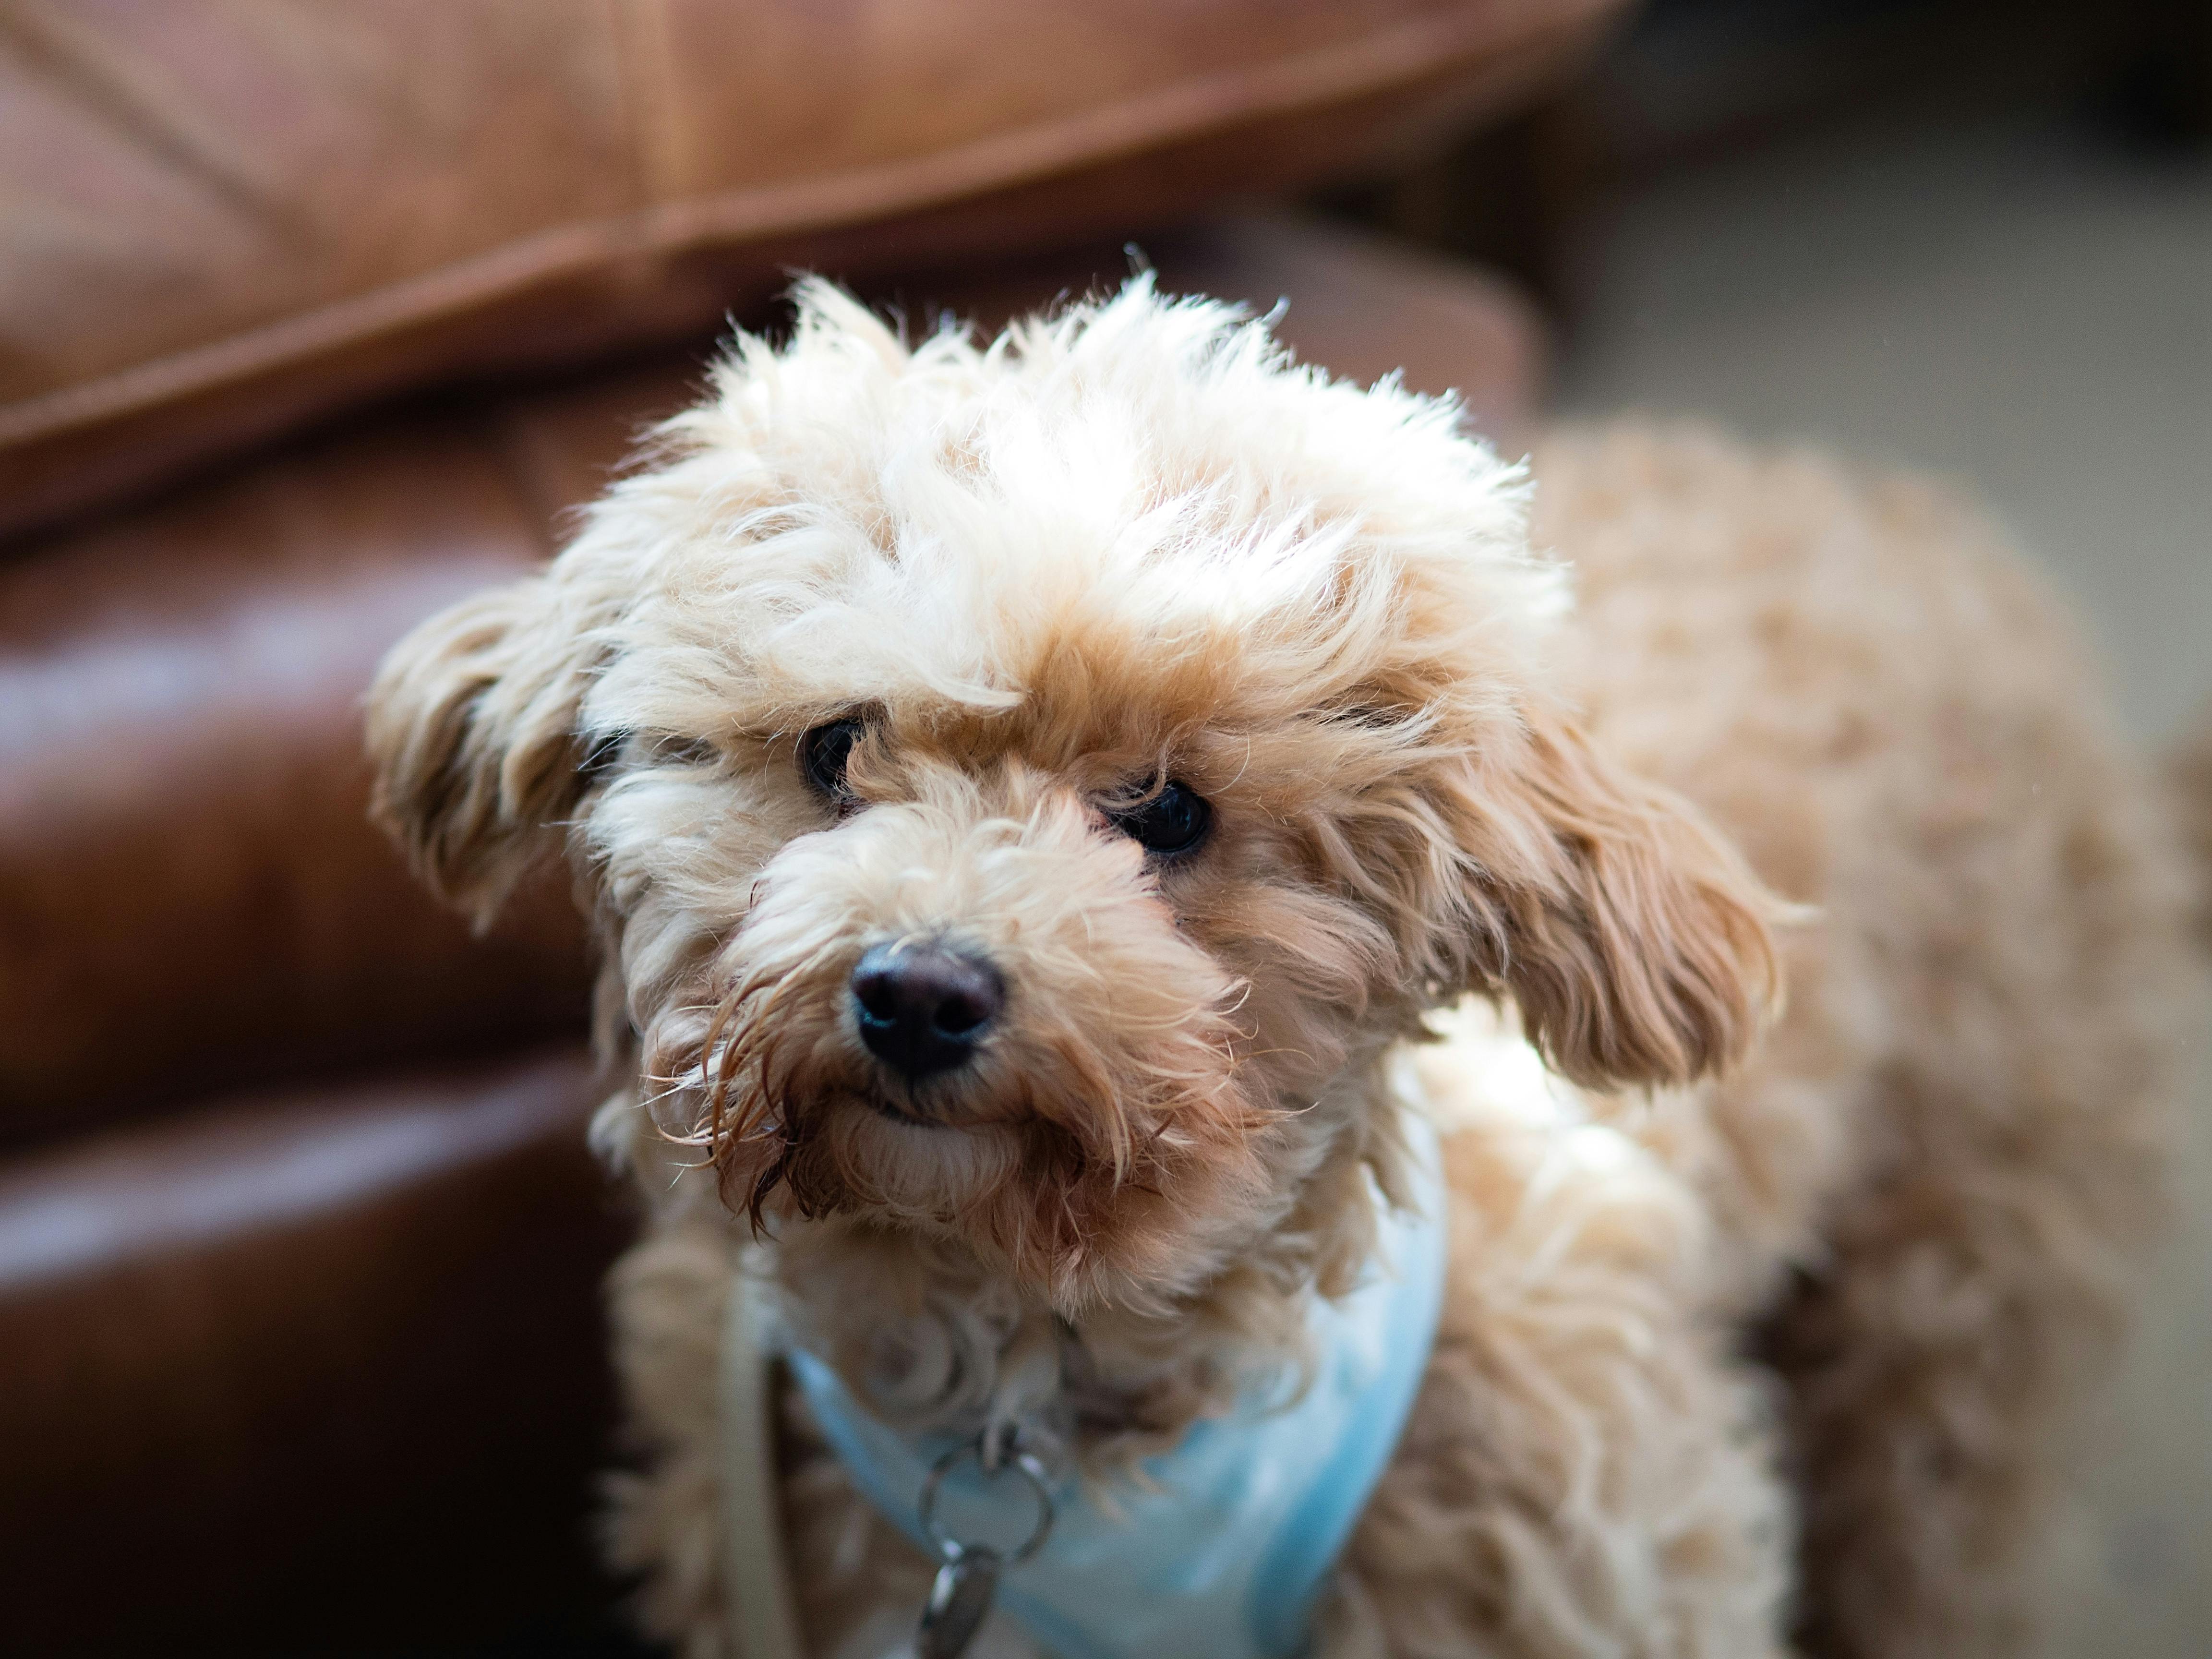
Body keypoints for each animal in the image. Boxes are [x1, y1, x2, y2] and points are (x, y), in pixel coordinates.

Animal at [367, 285, 2194, 1659]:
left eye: (1169, 810)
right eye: (832, 748)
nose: (916, 991)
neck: (1030, 1413)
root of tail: (1907, 510)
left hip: (1961, 1276)